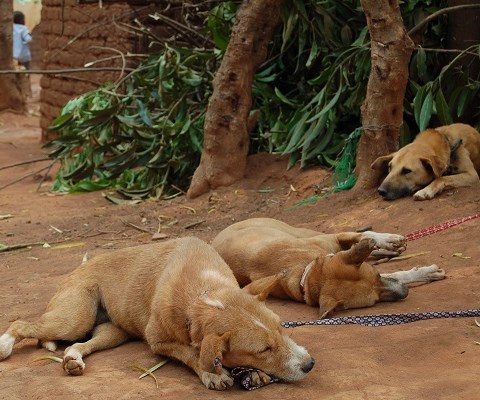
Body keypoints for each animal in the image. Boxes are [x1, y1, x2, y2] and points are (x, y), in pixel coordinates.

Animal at [0, 237, 314, 390]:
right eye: (263, 349)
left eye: (282, 328)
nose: (310, 364)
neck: (203, 292)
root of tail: (81, 265)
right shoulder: (158, 341)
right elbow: (191, 353)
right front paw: (211, 373)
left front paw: (251, 373)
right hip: (74, 319)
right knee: (21, 324)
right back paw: (4, 345)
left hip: (111, 333)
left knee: (78, 345)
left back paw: (73, 360)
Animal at [212, 218, 445, 318]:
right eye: (373, 301)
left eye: (378, 276)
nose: (404, 293)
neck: (305, 272)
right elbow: (396, 274)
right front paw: (422, 273)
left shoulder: (330, 241)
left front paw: (423, 272)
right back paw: (383, 252)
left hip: (305, 232)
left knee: (362, 235)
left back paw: (388, 242)